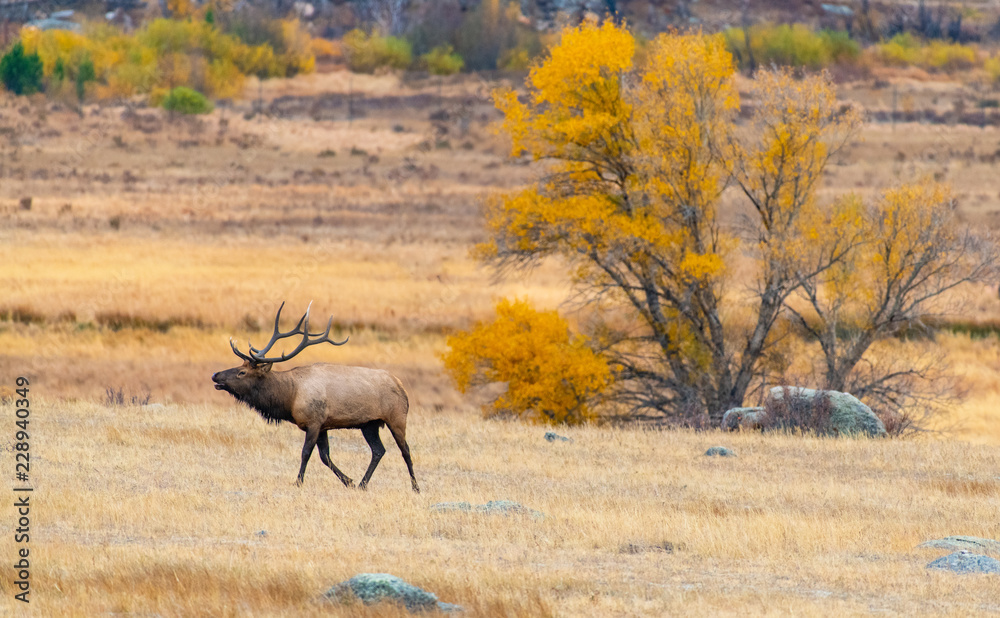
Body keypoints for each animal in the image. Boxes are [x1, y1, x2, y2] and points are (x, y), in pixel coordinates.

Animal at [212, 302, 419, 492]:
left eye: (242, 372)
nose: (215, 375)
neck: (290, 397)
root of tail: (401, 386)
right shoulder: (323, 425)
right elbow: (325, 456)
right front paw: (349, 481)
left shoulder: (314, 422)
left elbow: (306, 453)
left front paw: (298, 482)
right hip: (369, 424)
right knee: (378, 450)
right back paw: (362, 484)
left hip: (397, 417)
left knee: (405, 450)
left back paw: (415, 487)